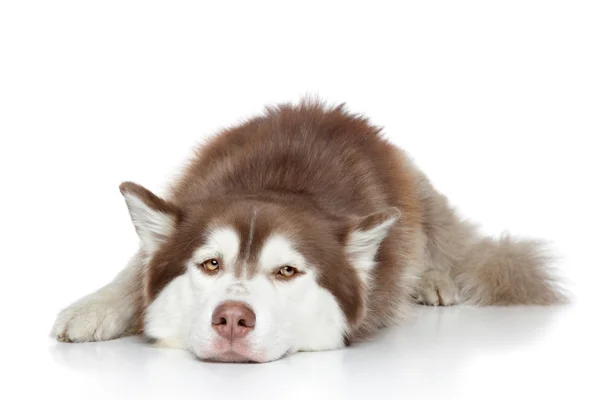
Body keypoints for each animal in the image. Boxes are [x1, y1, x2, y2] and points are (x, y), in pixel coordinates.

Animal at [51, 99, 568, 362]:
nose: (232, 319)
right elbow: (134, 270)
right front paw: (95, 308)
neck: (277, 186)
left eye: (287, 272)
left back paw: (432, 278)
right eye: (210, 264)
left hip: (417, 189)